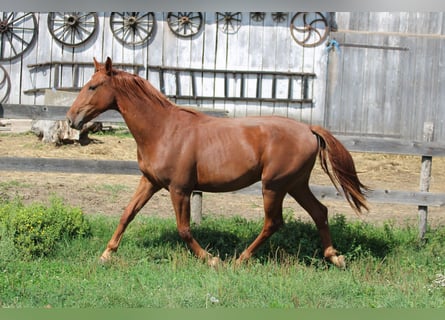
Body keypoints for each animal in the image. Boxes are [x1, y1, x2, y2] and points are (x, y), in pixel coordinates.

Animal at [66, 57, 368, 268]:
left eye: (93, 86)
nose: (71, 119)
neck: (163, 130)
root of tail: (309, 129)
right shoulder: (150, 181)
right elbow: (127, 213)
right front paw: (106, 254)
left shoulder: (179, 189)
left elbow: (184, 229)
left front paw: (211, 259)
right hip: (295, 184)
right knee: (319, 212)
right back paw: (335, 257)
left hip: (274, 186)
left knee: (273, 223)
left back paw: (240, 259)